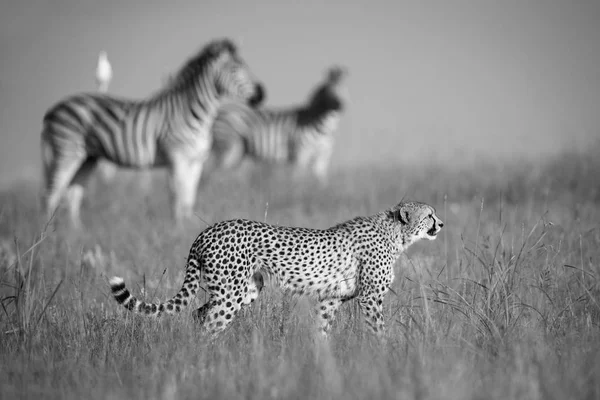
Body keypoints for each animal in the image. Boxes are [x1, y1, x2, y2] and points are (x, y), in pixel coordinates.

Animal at [40, 38, 264, 228]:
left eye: (246, 67)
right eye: (235, 69)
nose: (262, 94)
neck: (197, 114)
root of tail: (52, 110)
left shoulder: (196, 161)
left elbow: (189, 198)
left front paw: (188, 227)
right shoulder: (177, 158)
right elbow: (178, 197)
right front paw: (178, 230)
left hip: (88, 158)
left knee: (73, 195)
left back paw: (75, 234)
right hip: (67, 150)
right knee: (52, 194)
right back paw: (48, 235)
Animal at [110, 200, 442, 338]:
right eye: (429, 215)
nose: (441, 224)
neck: (396, 233)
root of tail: (208, 230)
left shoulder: (331, 298)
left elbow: (321, 330)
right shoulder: (370, 297)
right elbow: (378, 330)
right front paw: (383, 356)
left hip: (245, 289)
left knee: (199, 313)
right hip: (230, 293)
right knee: (210, 322)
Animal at [209, 65, 346, 184]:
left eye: (344, 89)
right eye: (329, 91)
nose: (341, 105)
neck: (325, 128)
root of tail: (219, 112)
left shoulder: (324, 155)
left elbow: (321, 179)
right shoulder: (301, 153)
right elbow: (297, 177)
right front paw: (297, 192)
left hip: (239, 151)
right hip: (228, 145)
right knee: (216, 173)